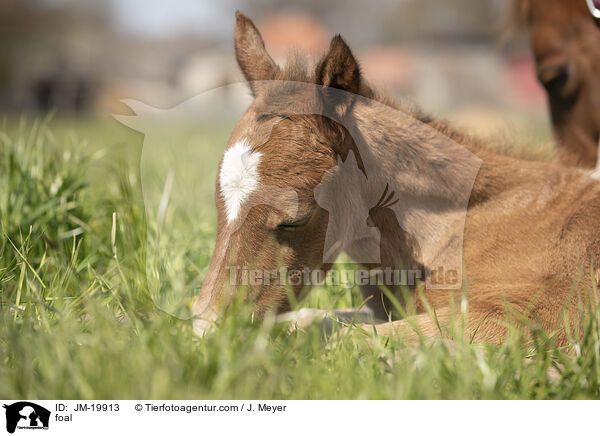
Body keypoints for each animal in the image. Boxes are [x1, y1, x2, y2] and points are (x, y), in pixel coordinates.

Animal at [193, 13, 600, 346]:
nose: (206, 331)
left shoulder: (532, 316)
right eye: (218, 207)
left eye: (296, 219)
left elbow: (344, 341)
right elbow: (312, 320)